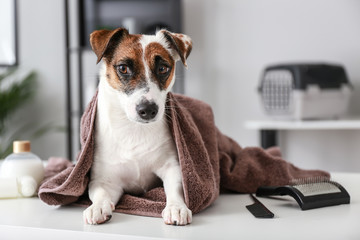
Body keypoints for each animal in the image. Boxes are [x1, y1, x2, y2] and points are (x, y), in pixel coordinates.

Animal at [82, 27, 193, 226]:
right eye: (123, 68)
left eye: (163, 68)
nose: (148, 110)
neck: (133, 129)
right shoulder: (105, 180)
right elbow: (100, 192)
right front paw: (97, 207)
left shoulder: (173, 166)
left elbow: (176, 188)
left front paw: (176, 207)